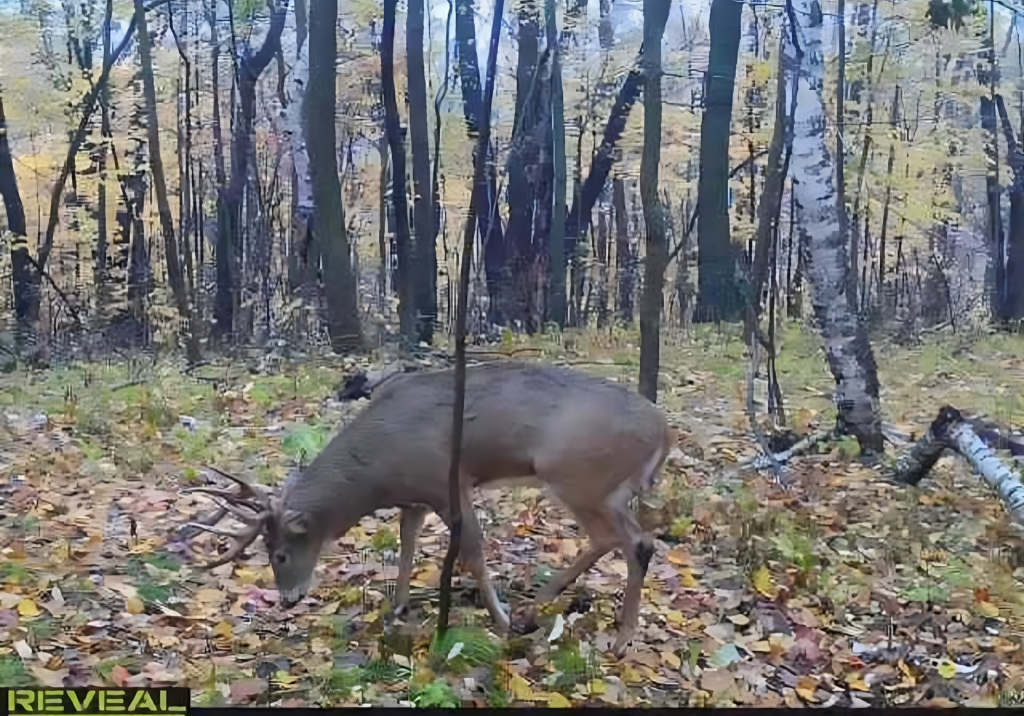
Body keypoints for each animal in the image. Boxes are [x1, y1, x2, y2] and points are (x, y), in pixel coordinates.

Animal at [180, 360, 675, 659]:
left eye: (279, 554)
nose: (288, 599)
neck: (377, 469)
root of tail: (664, 431)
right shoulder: (415, 497)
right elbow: (406, 547)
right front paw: (396, 609)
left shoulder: (448, 480)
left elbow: (473, 552)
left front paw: (498, 621)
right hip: (602, 488)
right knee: (626, 537)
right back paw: (541, 609)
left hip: (576, 475)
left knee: (630, 539)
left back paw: (616, 638)